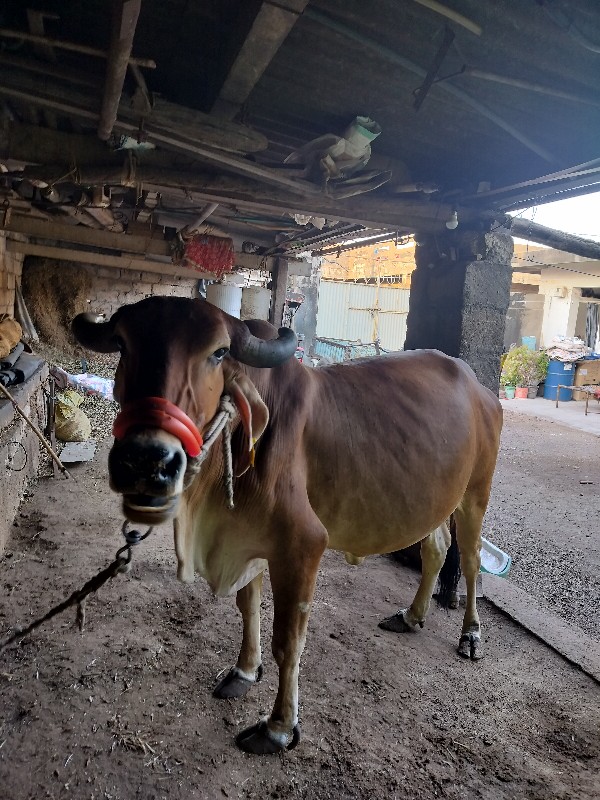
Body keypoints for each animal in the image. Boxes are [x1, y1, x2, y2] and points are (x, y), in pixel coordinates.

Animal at [74, 296, 502, 756]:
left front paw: (278, 727)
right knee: (435, 547)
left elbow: (288, 642)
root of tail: (479, 388)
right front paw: (244, 671)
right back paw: (411, 616)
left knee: (471, 559)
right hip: (434, 501)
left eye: (218, 352)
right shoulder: (248, 540)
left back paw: (471, 635)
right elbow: (247, 609)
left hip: (476, 495)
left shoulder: (302, 546)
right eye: (122, 344)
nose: (147, 461)